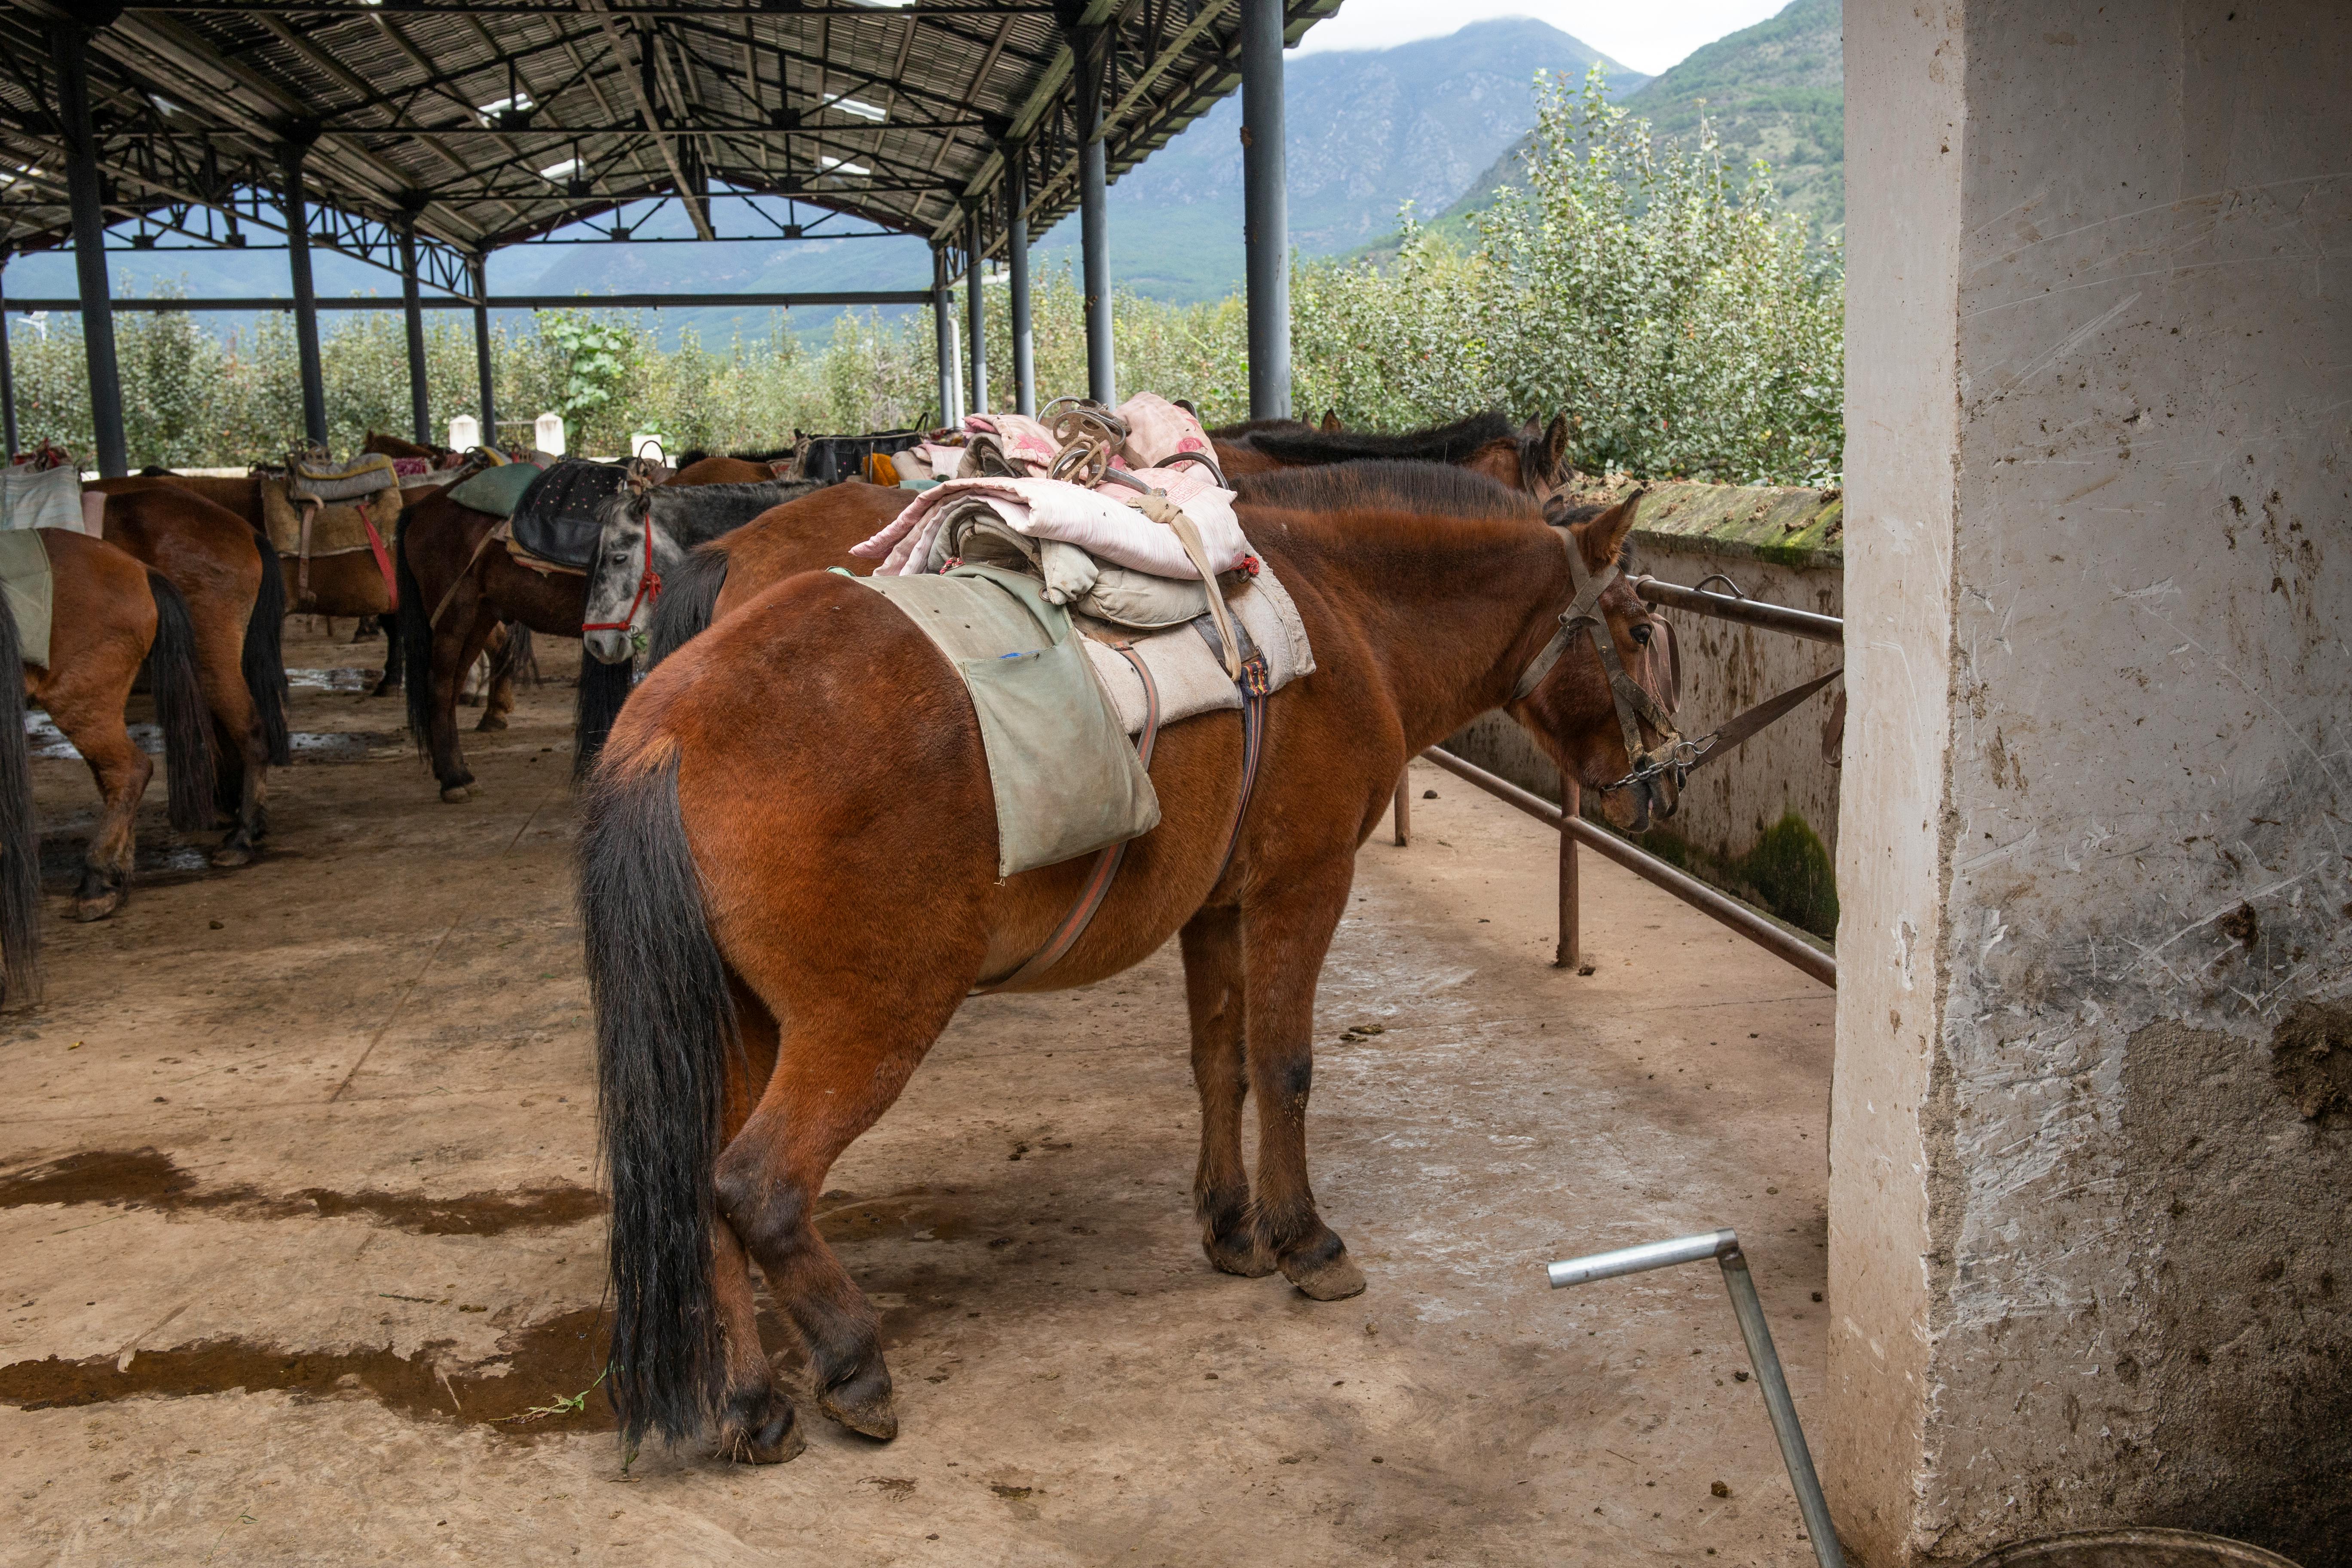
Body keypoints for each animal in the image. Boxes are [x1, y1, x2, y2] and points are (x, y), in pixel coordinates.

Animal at [20, 529, 217, 923]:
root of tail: (138, 569)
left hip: (82, 701)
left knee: (129, 771)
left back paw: (97, 883)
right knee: (114, 780)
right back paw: (114, 877)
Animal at [576, 470, 1674, 1462]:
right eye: (1637, 630)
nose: (1662, 781)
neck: (1344, 615)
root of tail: (668, 729)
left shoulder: (1216, 909)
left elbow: (1221, 1065)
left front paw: (1231, 1227)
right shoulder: (1302, 889)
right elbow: (1286, 1067)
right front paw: (1305, 1239)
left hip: (740, 1018)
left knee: (698, 1186)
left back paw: (753, 1406)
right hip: (873, 1019)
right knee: (758, 1186)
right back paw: (853, 1364)